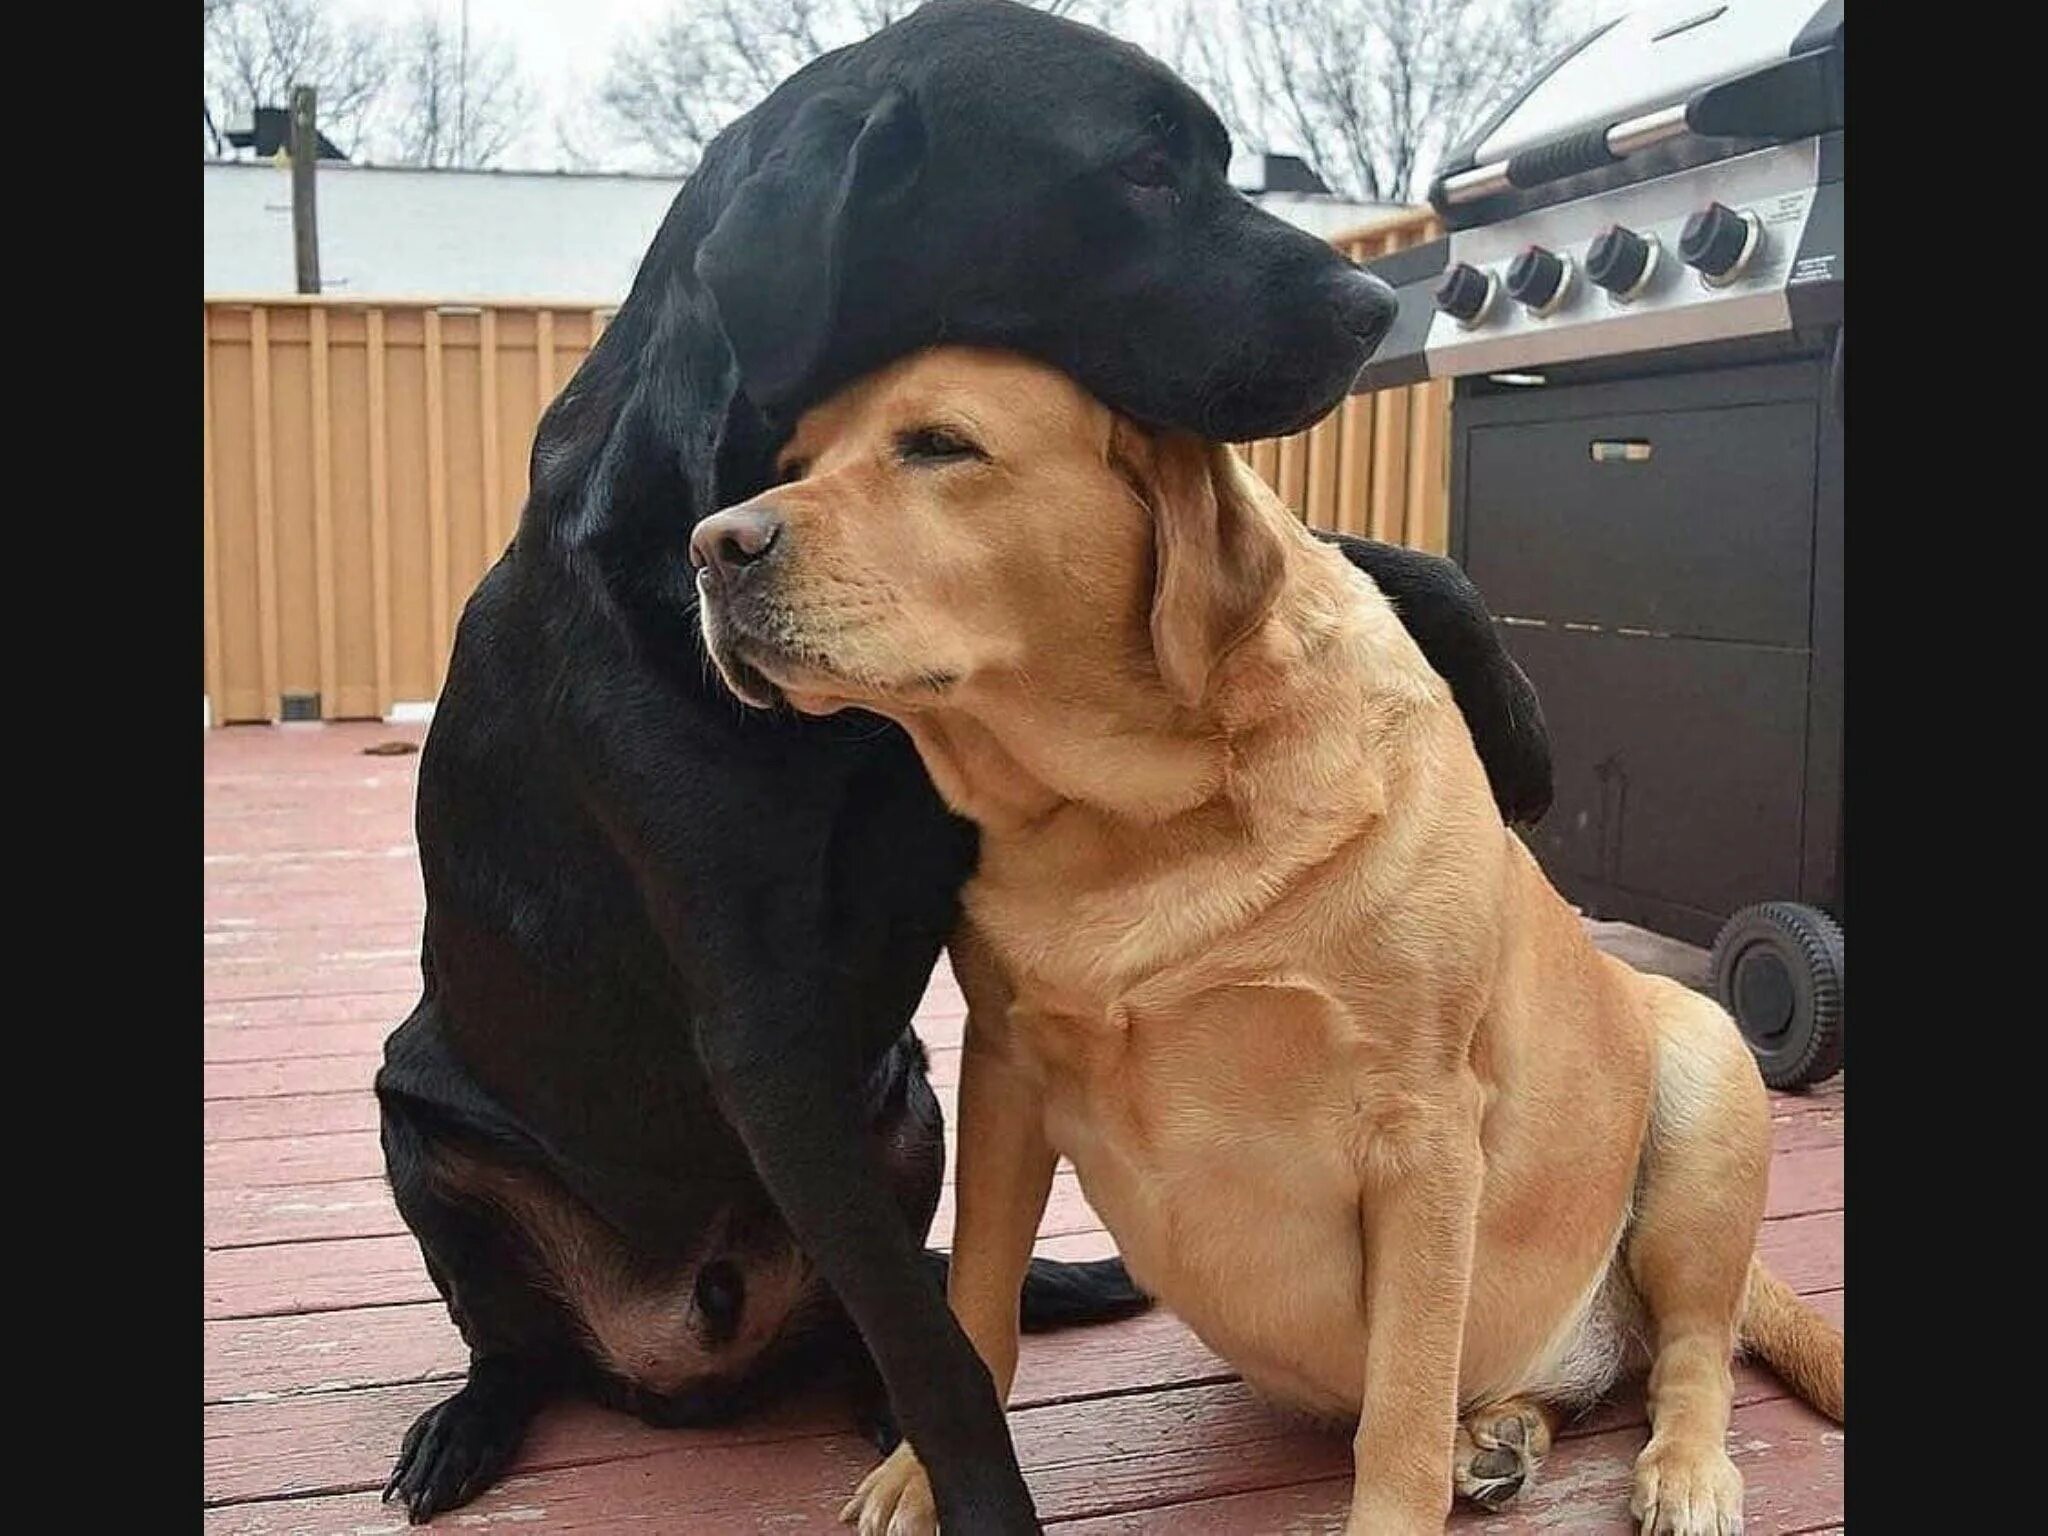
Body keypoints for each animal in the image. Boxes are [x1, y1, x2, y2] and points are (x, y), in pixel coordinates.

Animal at [376, 0, 1548, 1531]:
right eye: (1142, 171)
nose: (1378, 311)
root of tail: (679, 1353)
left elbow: (1395, 559)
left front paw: (1514, 726)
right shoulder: (764, 1026)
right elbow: (936, 1348)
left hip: (905, 1109)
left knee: (866, 1314)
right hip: (425, 1127)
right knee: (535, 1339)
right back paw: (467, 1426)